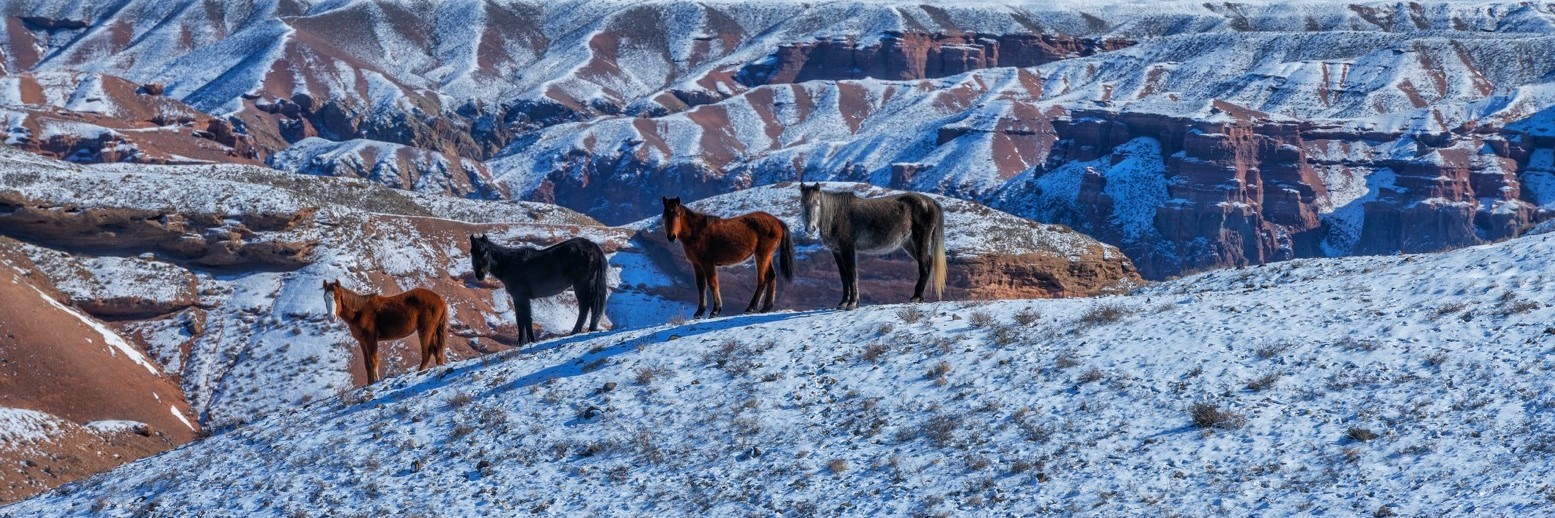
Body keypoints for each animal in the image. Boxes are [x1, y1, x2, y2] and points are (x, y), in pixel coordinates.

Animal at [466, 233, 606, 342]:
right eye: (472, 252)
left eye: (485, 251)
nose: (479, 275)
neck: (509, 264)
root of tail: (591, 246)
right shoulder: (517, 298)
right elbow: (521, 319)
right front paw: (522, 342)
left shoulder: (521, 297)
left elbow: (526, 319)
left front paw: (529, 341)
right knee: (593, 306)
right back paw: (591, 329)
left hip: (581, 285)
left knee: (585, 307)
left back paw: (575, 332)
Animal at [662, 196, 796, 317]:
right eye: (664, 216)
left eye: (677, 214)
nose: (671, 237)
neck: (697, 231)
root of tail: (777, 221)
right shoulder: (696, 264)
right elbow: (701, 285)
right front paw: (699, 312)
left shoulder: (707, 263)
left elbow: (712, 283)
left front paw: (715, 310)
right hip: (766, 256)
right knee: (771, 277)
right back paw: (766, 307)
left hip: (762, 255)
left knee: (762, 279)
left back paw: (751, 307)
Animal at [802, 183, 945, 308]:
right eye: (803, 204)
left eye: (817, 203)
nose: (810, 228)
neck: (836, 216)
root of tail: (931, 202)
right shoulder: (836, 251)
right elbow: (844, 276)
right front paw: (843, 303)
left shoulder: (848, 249)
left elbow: (852, 274)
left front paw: (852, 303)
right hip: (908, 243)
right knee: (928, 261)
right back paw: (918, 297)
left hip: (920, 240)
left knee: (924, 264)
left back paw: (916, 297)